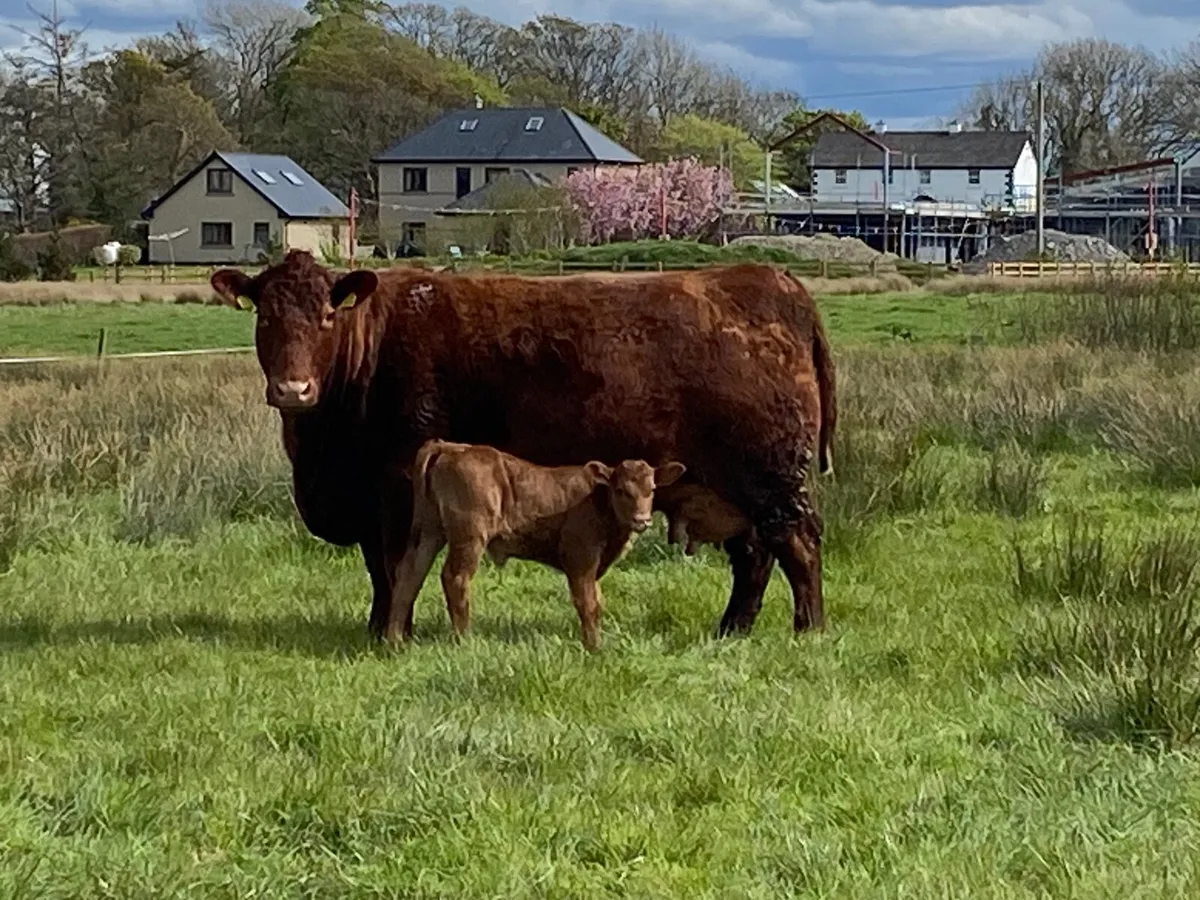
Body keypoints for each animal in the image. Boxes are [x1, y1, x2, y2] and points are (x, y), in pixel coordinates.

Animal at [393, 439, 686, 649]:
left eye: (651, 489)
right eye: (622, 490)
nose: (642, 519)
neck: (598, 499)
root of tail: (448, 447)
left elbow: (598, 601)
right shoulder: (580, 558)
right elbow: (587, 602)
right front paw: (594, 648)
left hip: (428, 533)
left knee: (409, 576)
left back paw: (393, 642)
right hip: (470, 537)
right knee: (455, 578)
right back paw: (464, 640)